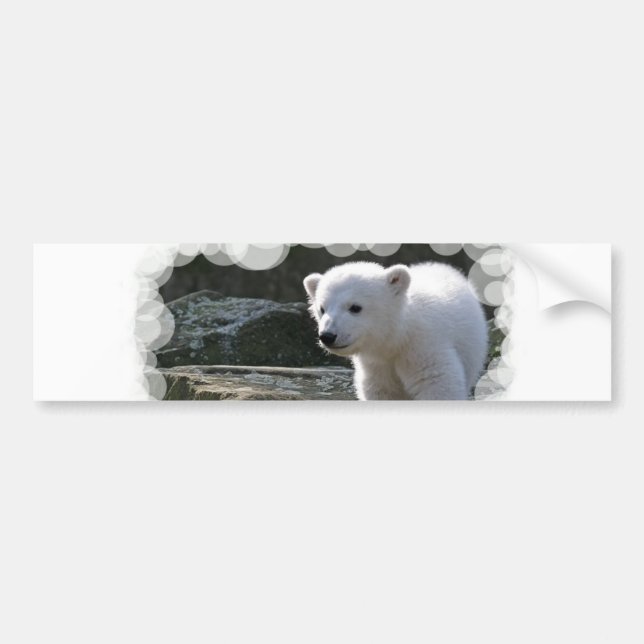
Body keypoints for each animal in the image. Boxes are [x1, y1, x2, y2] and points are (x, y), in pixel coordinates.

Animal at [303, 261, 488, 400]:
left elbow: (438, 383)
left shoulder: (424, 346)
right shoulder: (375, 364)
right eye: (322, 309)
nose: (327, 336)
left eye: (355, 307)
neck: (397, 337)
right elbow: (380, 390)